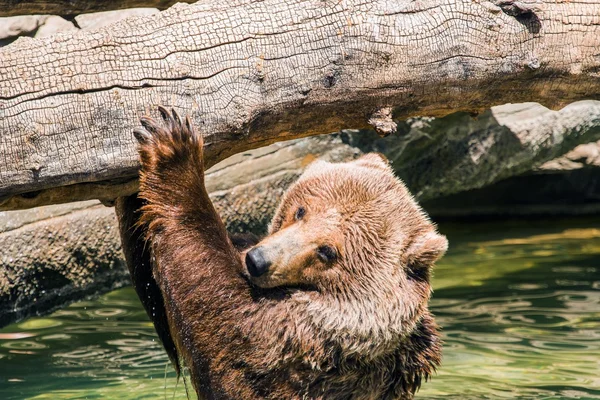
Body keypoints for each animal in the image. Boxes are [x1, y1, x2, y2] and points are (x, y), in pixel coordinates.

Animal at [116, 107, 446, 400]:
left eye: (328, 251)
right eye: (300, 210)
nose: (258, 261)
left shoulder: (291, 342)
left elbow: (205, 293)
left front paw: (174, 145)